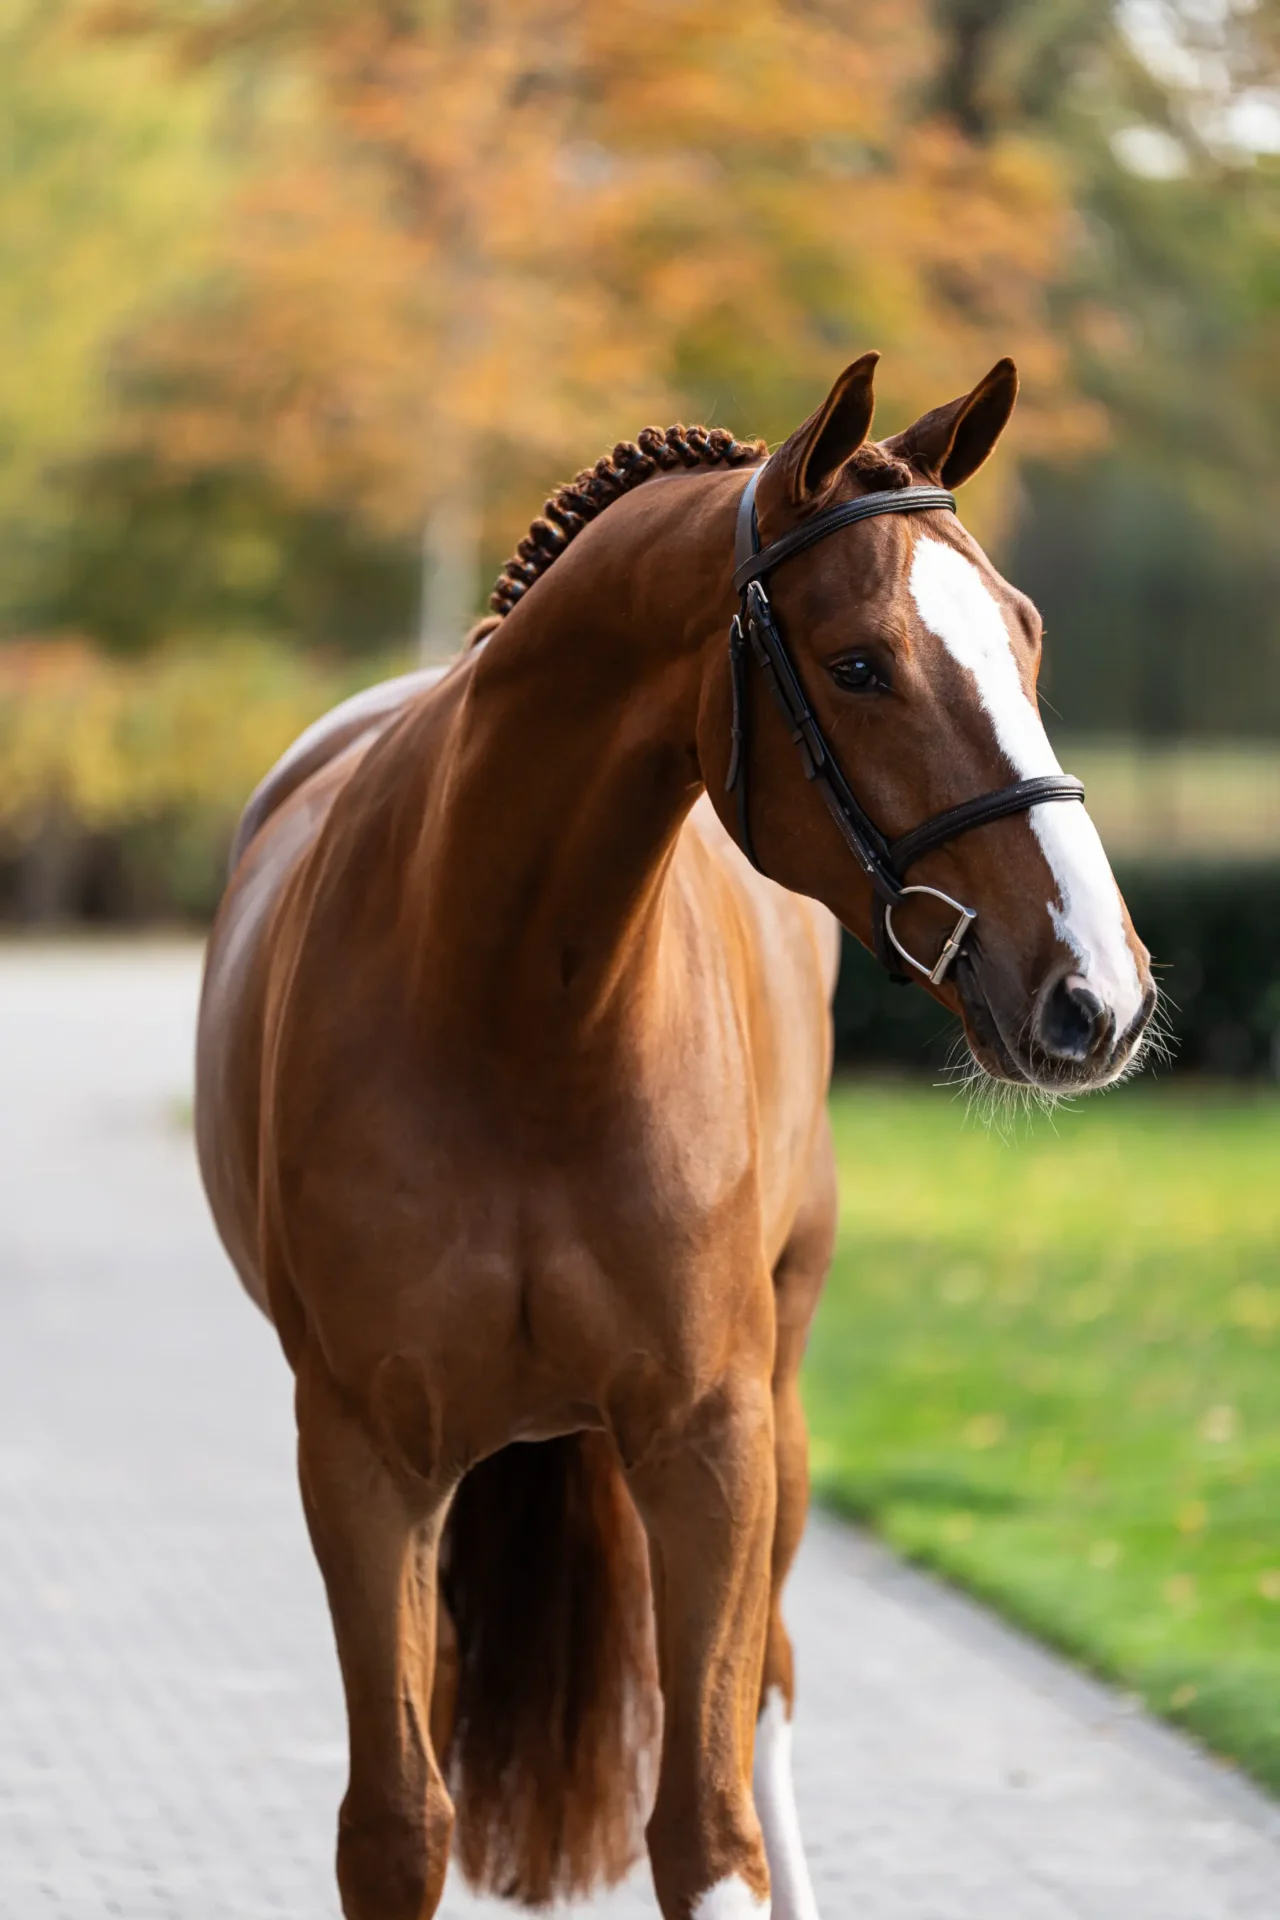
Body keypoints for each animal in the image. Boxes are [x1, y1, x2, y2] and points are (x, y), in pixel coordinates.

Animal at [195, 352, 1156, 1920]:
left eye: (1023, 635)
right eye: (860, 664)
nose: (1100, 993)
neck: (521, 1010)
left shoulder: (711, 1449)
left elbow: (707, 1828)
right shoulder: (364, 1461)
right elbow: (397, 1824)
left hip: (782, 1420)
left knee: (764, 1685)